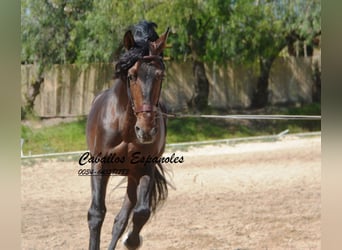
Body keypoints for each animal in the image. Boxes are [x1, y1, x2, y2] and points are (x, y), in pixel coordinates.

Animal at [86, 20, 170, 249]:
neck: (124, 127)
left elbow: (141, 213)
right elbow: (96, 214)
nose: (147, 130)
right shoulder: (100, 165)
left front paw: (132, 240)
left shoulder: (145, 167)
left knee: (123, 218)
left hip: (133, 176)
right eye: (132, 76)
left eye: (160, 76)